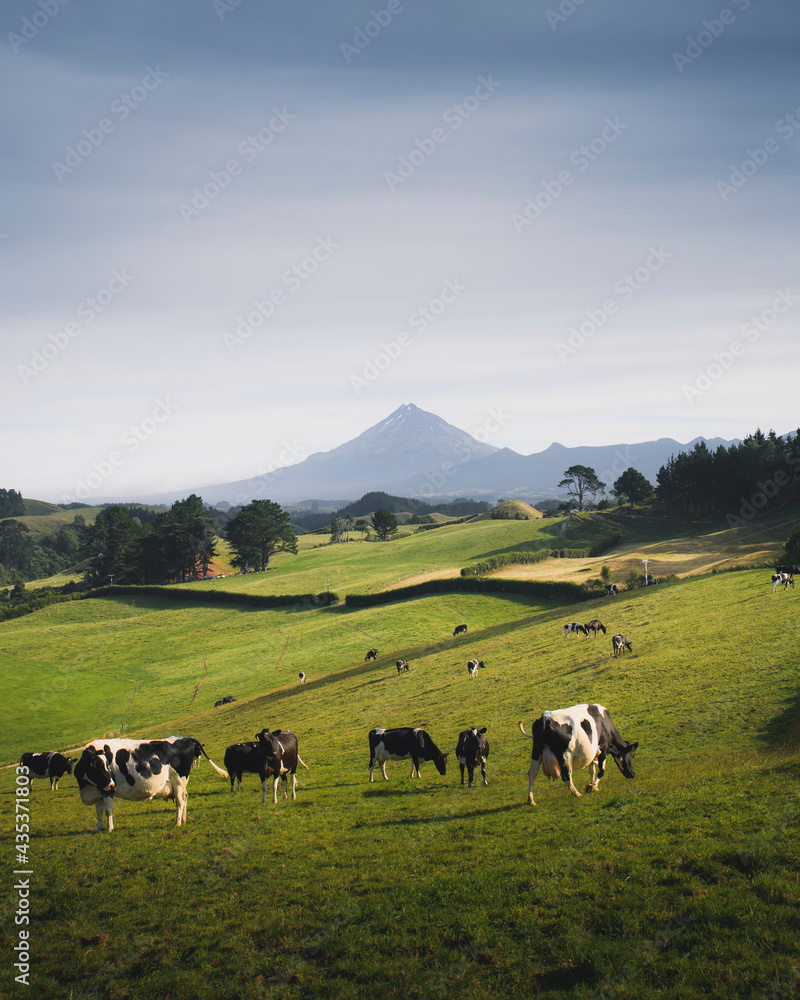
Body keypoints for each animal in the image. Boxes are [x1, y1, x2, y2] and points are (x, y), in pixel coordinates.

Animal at [74, 732, 228, 832]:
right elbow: (99, 812)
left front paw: (109, 829)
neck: (86, 788)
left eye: (107, 765)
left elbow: (107, 810)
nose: (112, 784)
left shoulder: (106, 791)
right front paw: (98, 829)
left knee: (180, 801)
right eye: (99, 767)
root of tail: (183, 738)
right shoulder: (98, 791)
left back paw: (178, 822)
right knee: (185, 797)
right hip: (181, 782)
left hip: (178, 780)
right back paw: (184, 820)